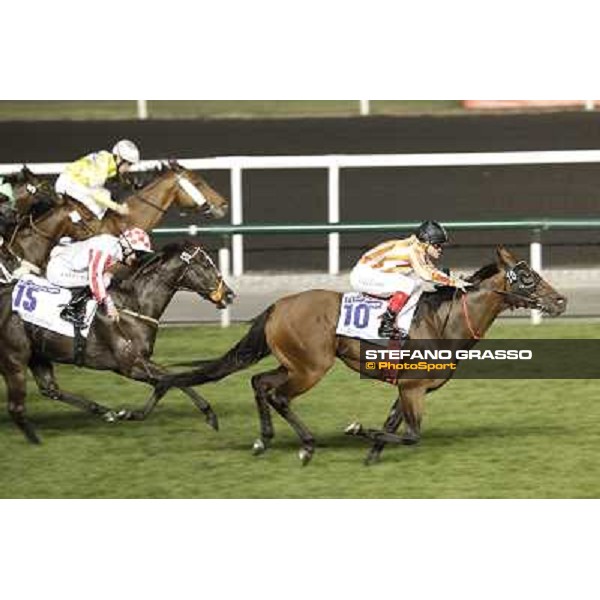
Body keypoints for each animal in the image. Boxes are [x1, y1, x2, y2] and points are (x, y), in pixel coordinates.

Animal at [0, 241, 234, 442]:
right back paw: (36, 442)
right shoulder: (129, 365)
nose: (229, 294)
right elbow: (170, 378)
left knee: (50, 389)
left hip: (38, 354)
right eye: (205, 263)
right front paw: (209, 414)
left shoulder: (138, 362)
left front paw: (128, 414)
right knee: (16, 407)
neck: (133, 304)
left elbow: (169, 381)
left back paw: (104, 411)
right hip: (14, 358)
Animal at [155, 246, 568, 466]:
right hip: (312, 367)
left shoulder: (406, 387)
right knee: (278, 395)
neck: (443, 322)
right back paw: (306, 445)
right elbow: (411, 435)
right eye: (528, 277)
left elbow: (391, 426)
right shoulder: (414, 388)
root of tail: (278, 305)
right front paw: (356, 431)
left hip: (294, 363)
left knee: (260, 383)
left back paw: (263, 440)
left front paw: (372, 456)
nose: (562, 301)